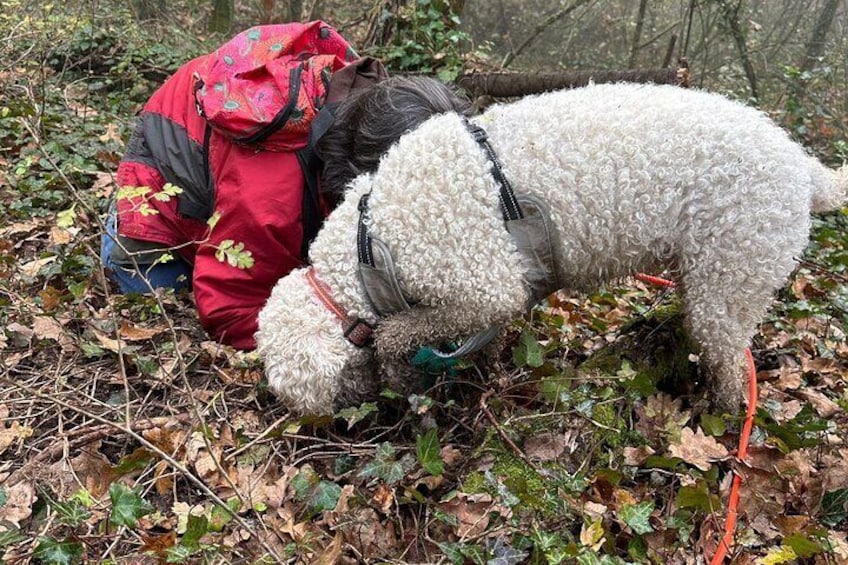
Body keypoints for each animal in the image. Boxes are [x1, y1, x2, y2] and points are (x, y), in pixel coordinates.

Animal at [256, 80, 848, 414]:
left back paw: (722, 414)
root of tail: (804, 167)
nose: (351, 418)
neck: (368, 242)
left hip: (735, 264)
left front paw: (394, 349)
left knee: (729, 360)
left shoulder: (481, 284)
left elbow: (401, 331)